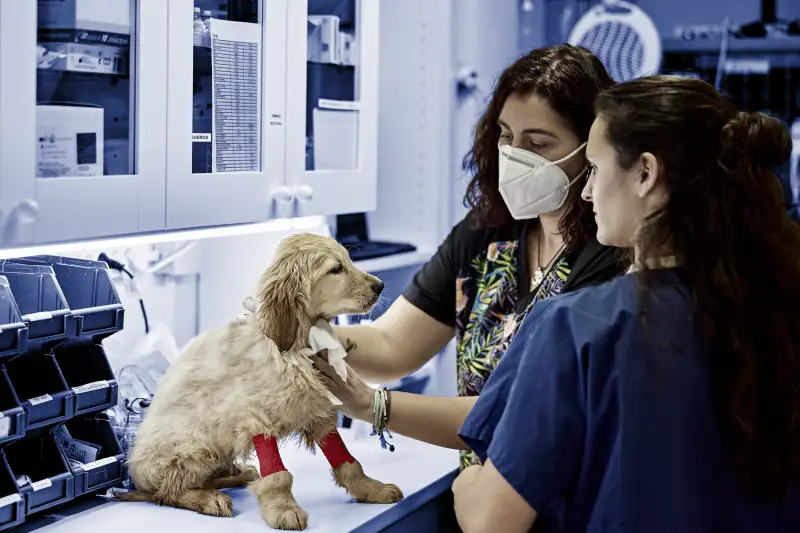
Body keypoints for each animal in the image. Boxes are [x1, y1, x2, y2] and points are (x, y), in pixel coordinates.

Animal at [115, 233, 404, 528]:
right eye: (336, 269)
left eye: (348, 261)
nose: (380, 286)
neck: (297, 345)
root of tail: (137, 477)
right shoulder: (257, 417)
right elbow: (277, 475)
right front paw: (283, 508)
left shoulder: (316, 408)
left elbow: (347, 461)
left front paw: (371, 488)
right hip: (193, 447)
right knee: (168, 493)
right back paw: (209, 499)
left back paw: (240, 475)